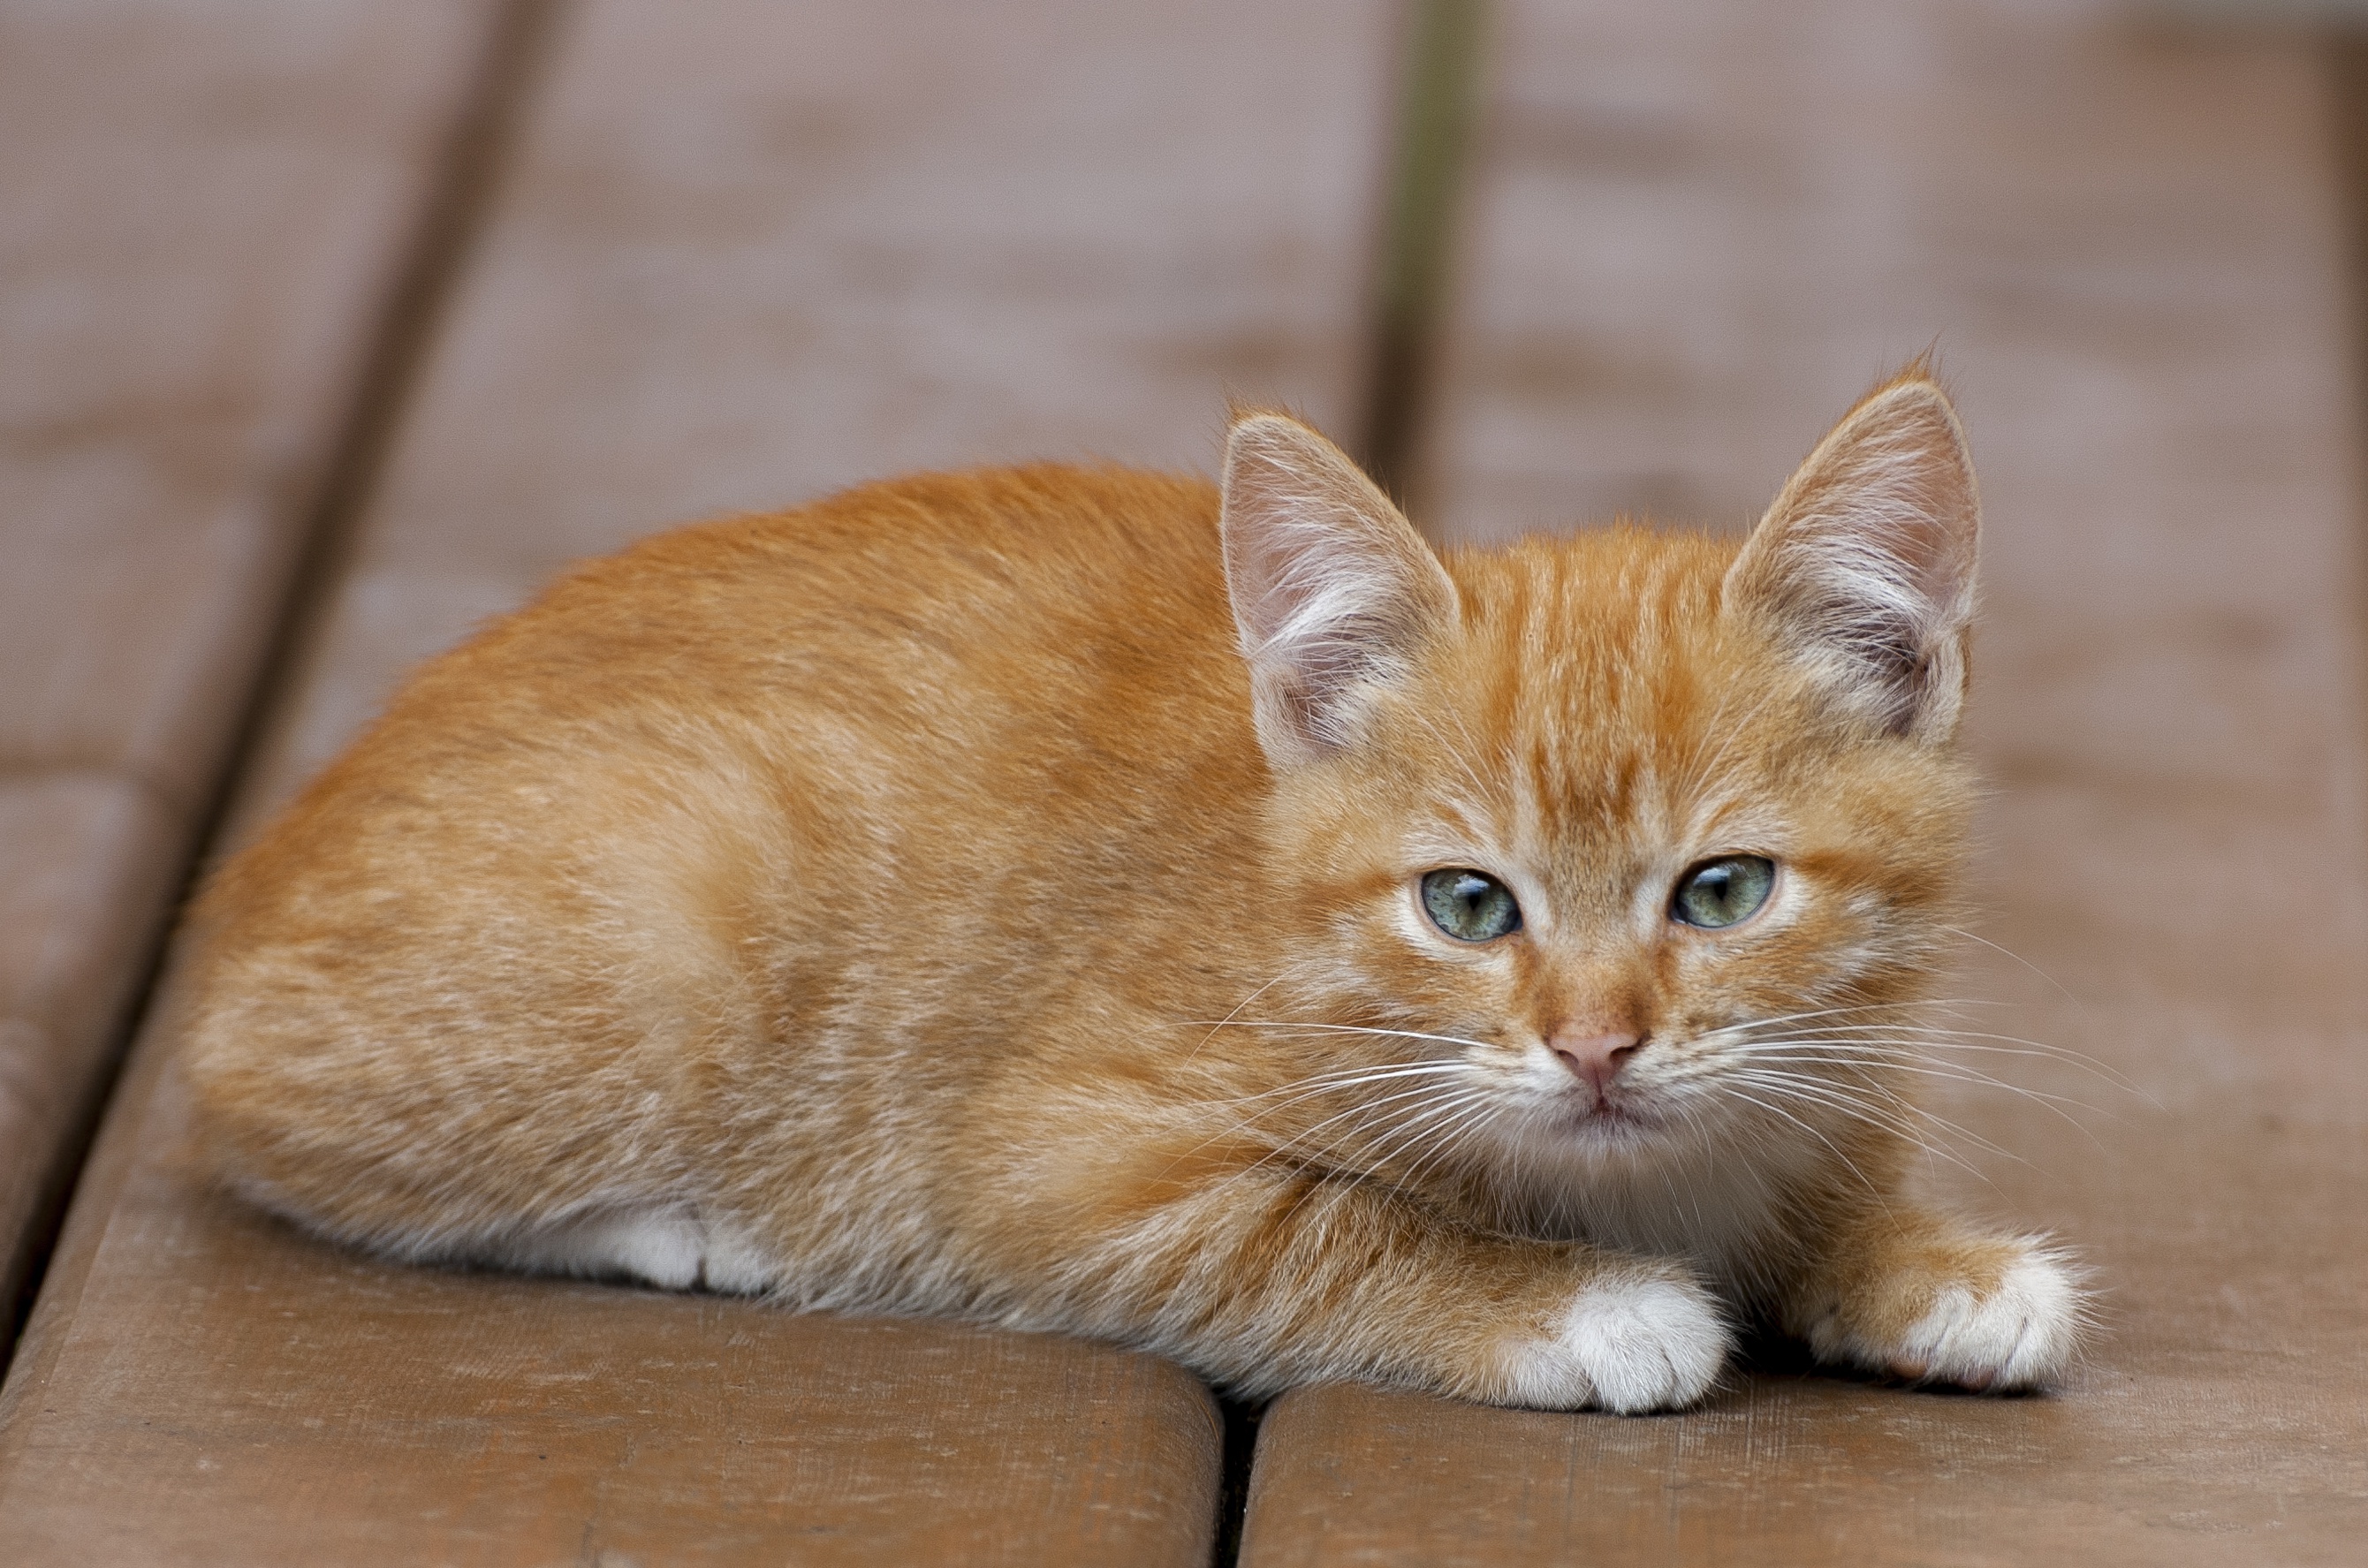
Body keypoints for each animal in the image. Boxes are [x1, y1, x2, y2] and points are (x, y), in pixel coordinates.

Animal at [179, 374, 2074, 1420]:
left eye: (1724, 891)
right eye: (1468, 906)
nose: (1597, 1049)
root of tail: (259, 870)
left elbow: (1813, 1164)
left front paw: (1920, 1258)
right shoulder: (1051, 1166)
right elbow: (1313, 1230)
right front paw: (1576, 1303)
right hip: (666, 922)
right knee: (269, 1130)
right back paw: (687, 1223)